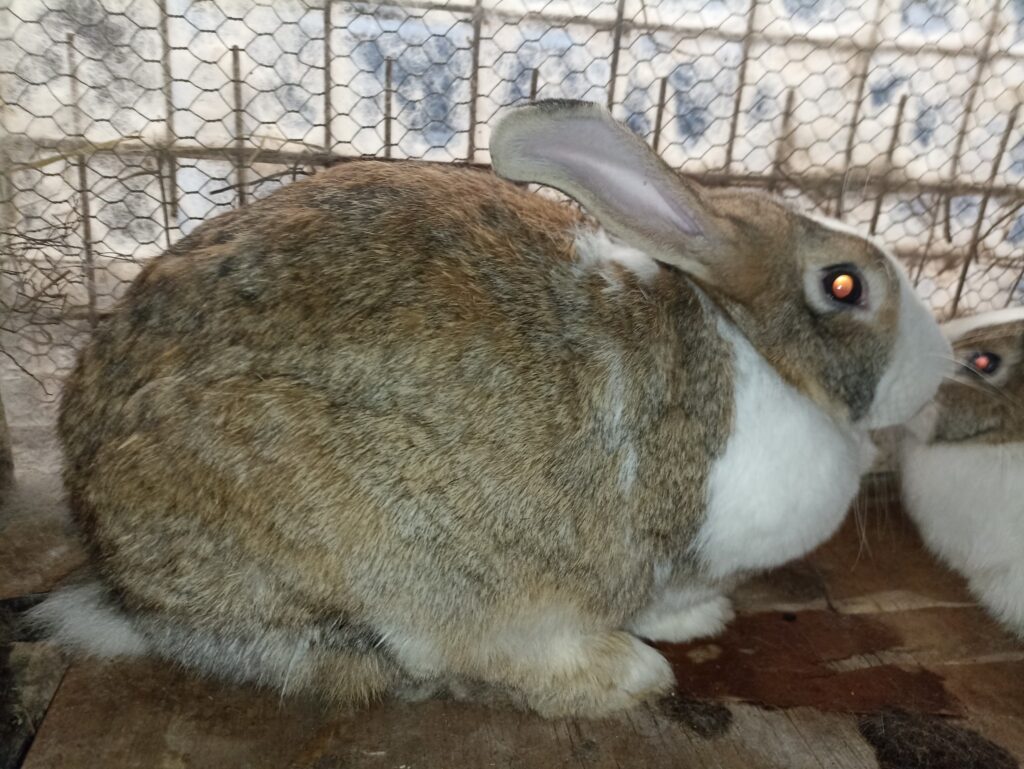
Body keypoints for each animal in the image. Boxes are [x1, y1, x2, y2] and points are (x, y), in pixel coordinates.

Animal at [32, 99, 951, 718]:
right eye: (845, 285)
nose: (939, 369)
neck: (754, 349)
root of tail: (127, 596)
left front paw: (701, 617)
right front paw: (662, 642)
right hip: (391, 549)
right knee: (442, 653)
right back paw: (624, 673)